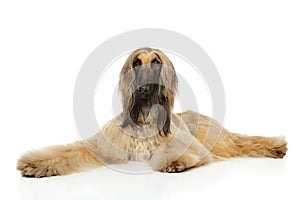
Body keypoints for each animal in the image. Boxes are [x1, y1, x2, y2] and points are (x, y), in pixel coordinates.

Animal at [17, 47, 288, 177]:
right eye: (136, 62)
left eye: (156, 61)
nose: (143, 88)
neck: (145, 115)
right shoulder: (104, 145)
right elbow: (69, 151)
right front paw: (35, 164)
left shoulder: (186, 143)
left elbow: (180, 151)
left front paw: (176, 162)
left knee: (241, 143)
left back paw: (276, 146)